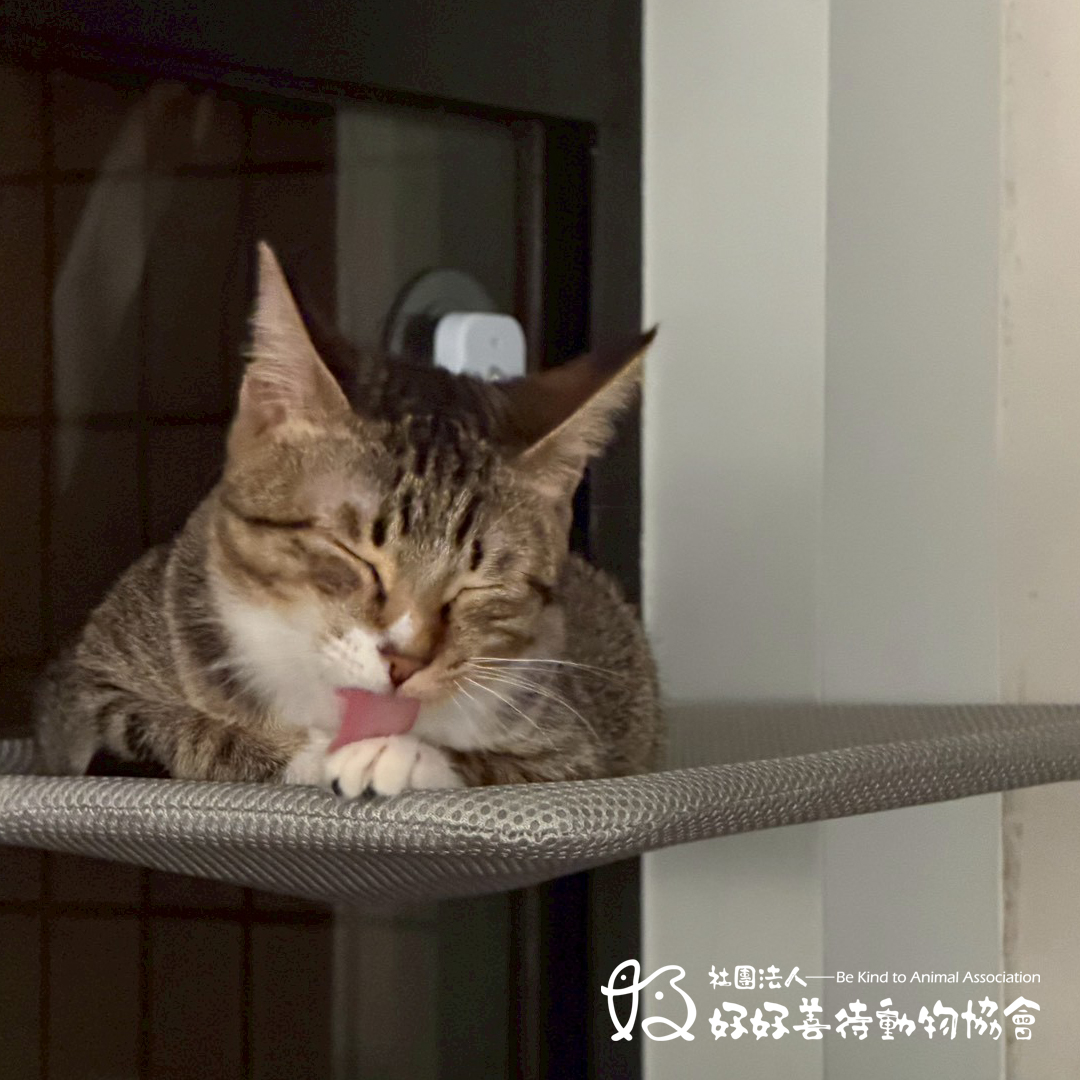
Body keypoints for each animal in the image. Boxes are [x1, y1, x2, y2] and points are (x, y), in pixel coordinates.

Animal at [34, 243, 661, 797]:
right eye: (355, 553)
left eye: (480, 584)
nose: (405, 662)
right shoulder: (84, 691)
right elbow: (155, 725)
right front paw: (304, 753)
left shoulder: (579, 737)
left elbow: (520, 767)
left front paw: (402, 754)